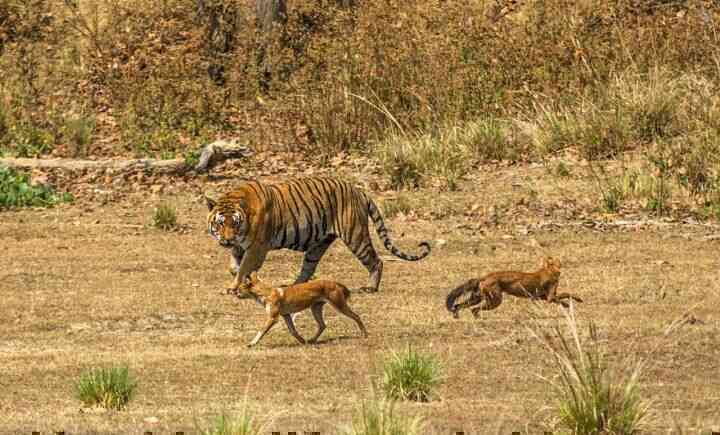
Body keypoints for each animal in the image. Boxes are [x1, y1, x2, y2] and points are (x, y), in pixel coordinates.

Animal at [202, 176, 430, 292]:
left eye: (235, 223)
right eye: (220, 224)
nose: (227, 239)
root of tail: (358, 190)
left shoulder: (257, 247)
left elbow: (243, 268)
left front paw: (236, 286)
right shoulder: (240, 247)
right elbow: (235, 267)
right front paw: (242, 280)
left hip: (355, 236)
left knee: (376, 261)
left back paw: (370, 287)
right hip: (318, 244)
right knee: (308, 268)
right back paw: (293, 287)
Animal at [231, 272, 368, 348]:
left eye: (239, 288)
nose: (233, 293)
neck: (265, 293)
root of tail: (335, 282)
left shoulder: (273, 318)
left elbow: (261, 331)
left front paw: (252, 343)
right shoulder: (286, 315)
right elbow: (293, 331)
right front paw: (303, 341)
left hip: (339, 306)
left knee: (356, 316)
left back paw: (364, 334)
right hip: (315, 309)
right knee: (323, 325)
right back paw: (312, 340)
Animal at [448, 258, 584, 318]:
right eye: (557, 262)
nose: (561, 264)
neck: (550, 271)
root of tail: (484, 276)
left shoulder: (543, 297)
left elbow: (564, 296)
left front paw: (568, 304)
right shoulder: (549, 297)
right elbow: (565, 294)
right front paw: (573, 302)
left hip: (477, 298)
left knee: (460, 306)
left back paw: (458, 317)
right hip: (495, 301)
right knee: (474, 309)